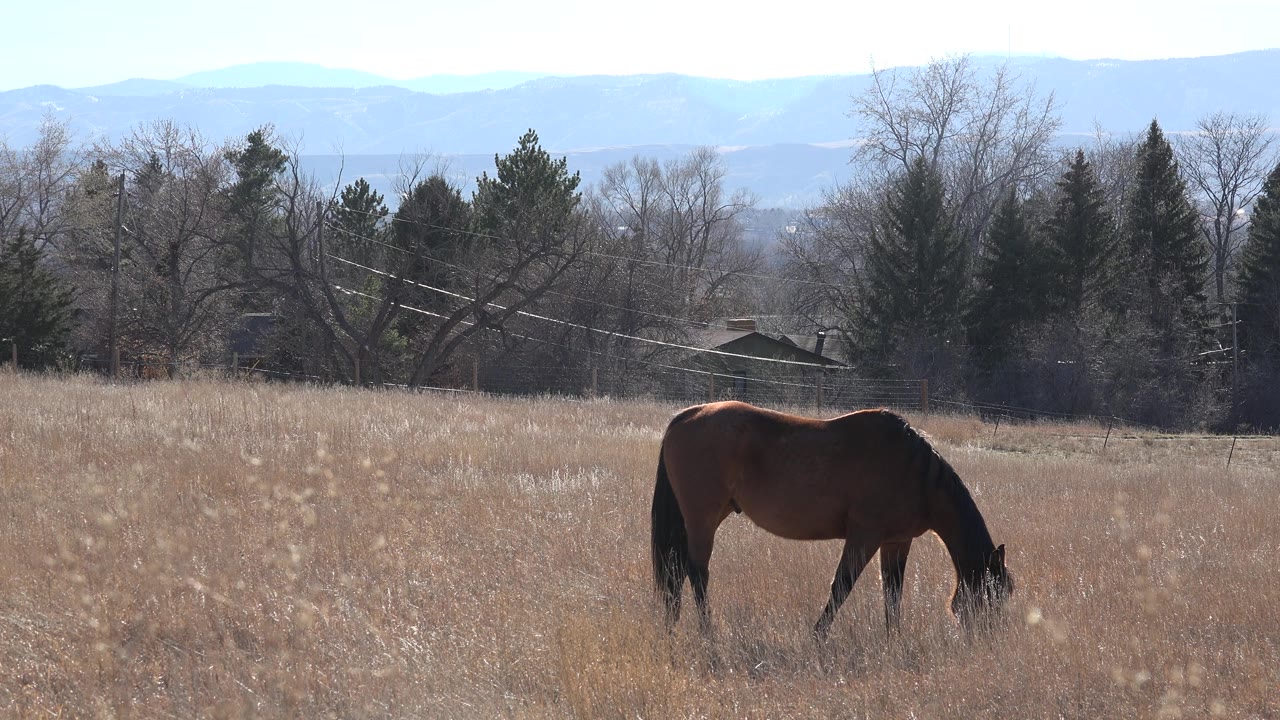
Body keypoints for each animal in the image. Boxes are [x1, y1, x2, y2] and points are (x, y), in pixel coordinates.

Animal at [650, 401, 1013, 638]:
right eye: (993, 594)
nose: (987, 641)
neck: (914, 471)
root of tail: (687, 415)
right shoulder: (864, 536)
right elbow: (842, 586)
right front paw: (818, 636)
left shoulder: (896, 542)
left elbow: (892, 594)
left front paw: (893, 640)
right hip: (703, 519)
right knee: (697, 573)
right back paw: (709, 633)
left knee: (677, 571)